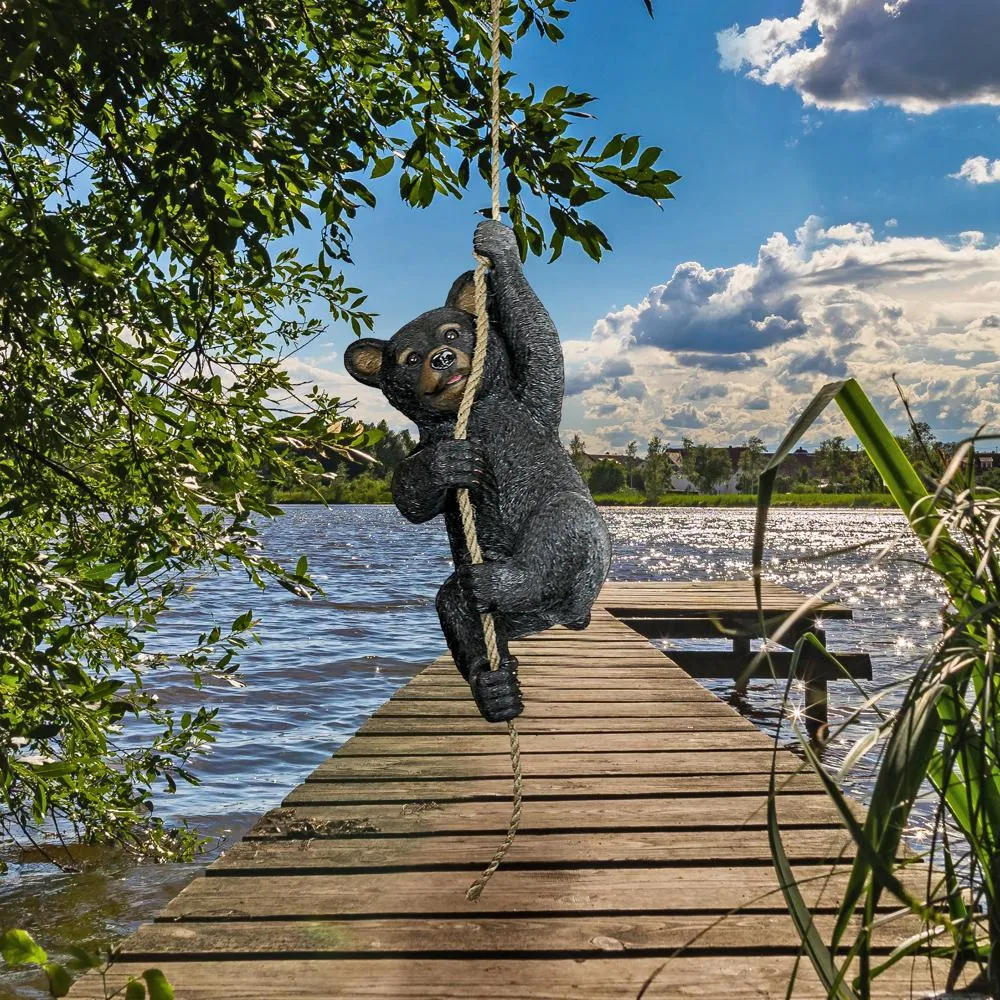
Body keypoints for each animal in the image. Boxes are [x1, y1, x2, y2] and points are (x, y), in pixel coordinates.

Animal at [344, 220, 612, 723]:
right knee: (455, 604)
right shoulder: (430, 442)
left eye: (452, 334)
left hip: (577, 565)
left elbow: (541, 344)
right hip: (488, 602)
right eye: (410, 358)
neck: (473, 417)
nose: (442, 359)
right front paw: (448, 464)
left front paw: (498, 245)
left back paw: (510, 583)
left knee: (566, 522)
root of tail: (561, 617)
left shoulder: (529, 407)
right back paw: (494, 686)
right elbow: (409, 495)